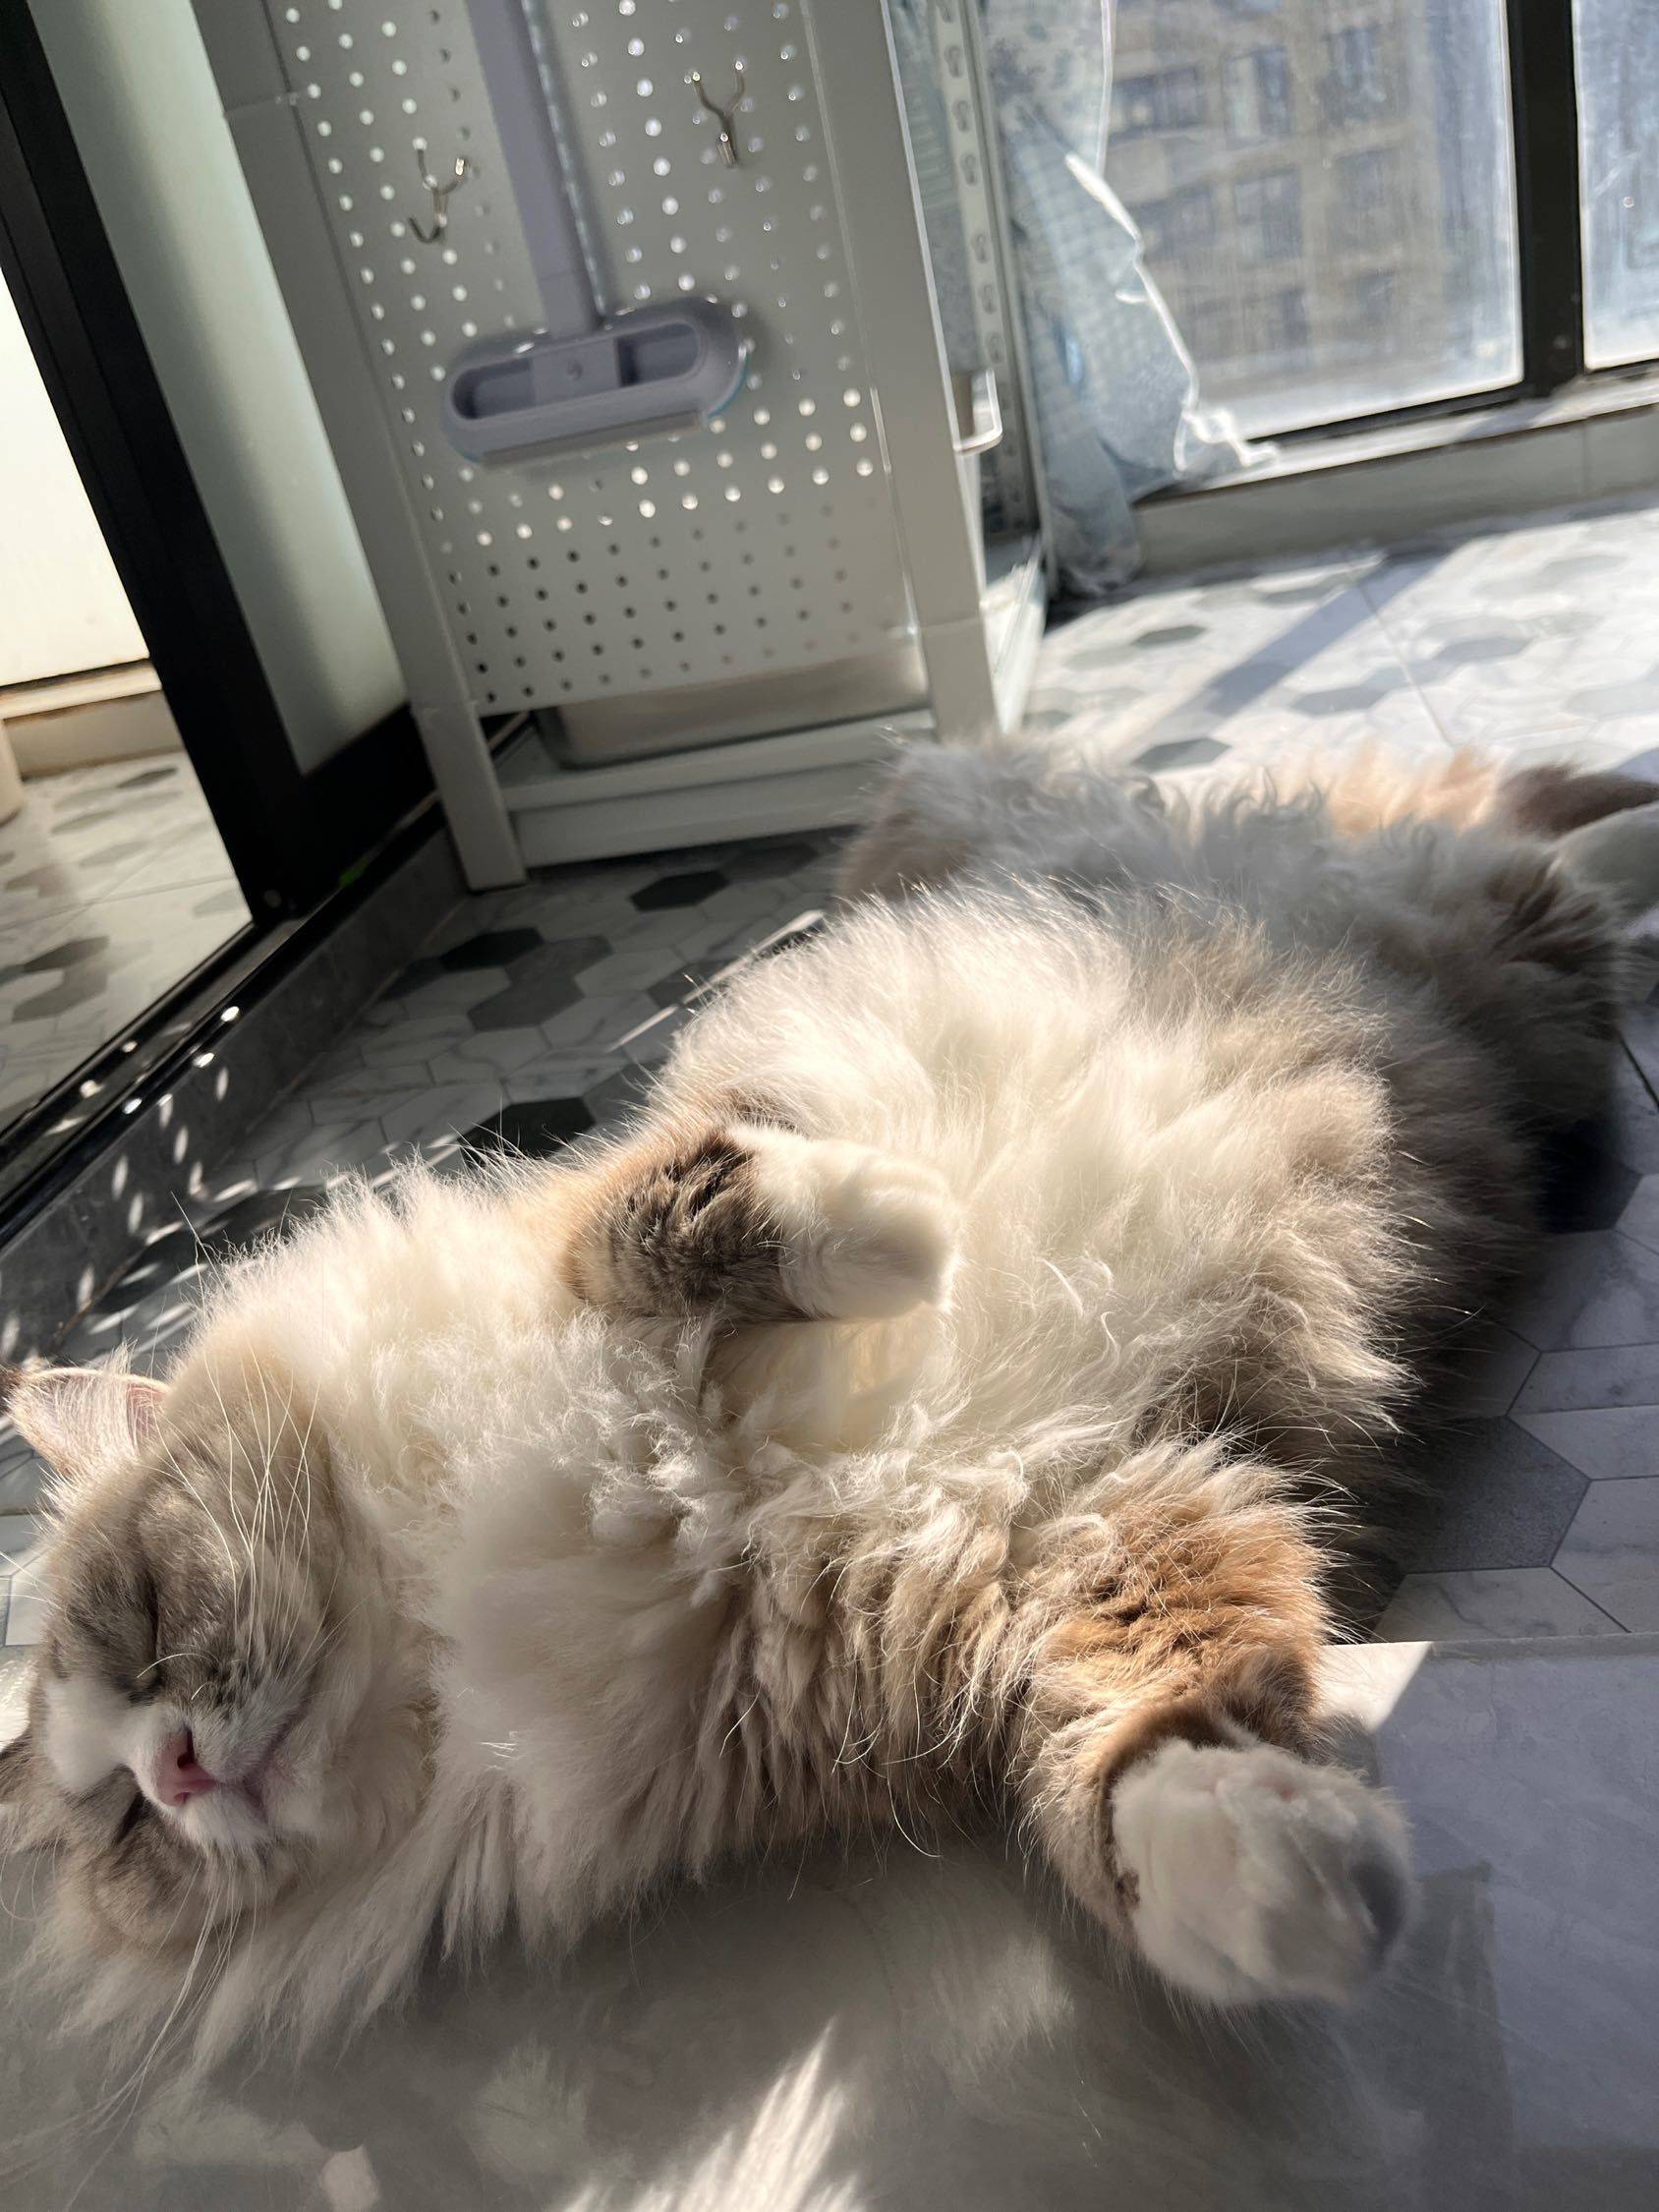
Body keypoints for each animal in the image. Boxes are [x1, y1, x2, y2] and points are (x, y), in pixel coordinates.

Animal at [3, 740, 1657, 2069]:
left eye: (146, 1613)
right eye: (127, 1825)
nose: (178, 1767)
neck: (468, 1602)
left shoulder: (633, 1228)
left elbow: (695, 1215)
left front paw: (905, 1229)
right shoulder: (1055, 1539)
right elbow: (1146, 1744)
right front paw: (1293, 1892)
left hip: (1336, 913)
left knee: (1535, 840)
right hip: (1501, 984)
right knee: (1539, 860)